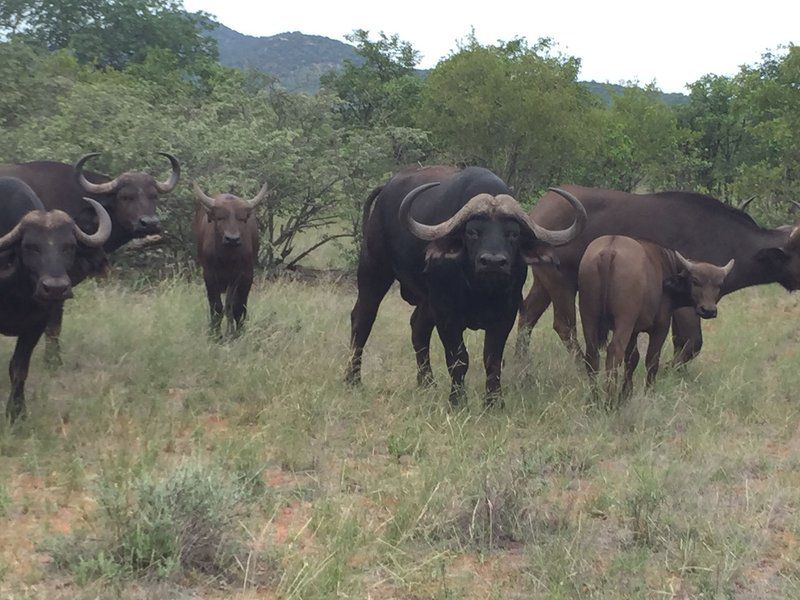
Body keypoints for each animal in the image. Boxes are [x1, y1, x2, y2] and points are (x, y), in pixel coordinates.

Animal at [0, 178, 112, 422]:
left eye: (69, 246)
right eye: (30, 247)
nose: (55, 289)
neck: (17, 292)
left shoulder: (35, 325)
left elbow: (19, 368)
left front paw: (17, 413)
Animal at [193, 178, 268, 338]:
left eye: (242, 219)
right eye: (220, 217)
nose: (232, 239)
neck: (225, 257)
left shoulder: (242, 275)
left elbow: (235, 307)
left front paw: (235, 334)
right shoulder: (209, 275)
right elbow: (216, 306)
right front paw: (215, 335)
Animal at [516, 186, 800, 366]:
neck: (729, 238)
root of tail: (538, 213)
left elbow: (682, 343)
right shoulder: (689, 305)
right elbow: (691, 343)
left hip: (543, 282)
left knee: (527, 315)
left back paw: (523, 364)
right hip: (561, 282)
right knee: (565, 327)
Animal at [580, 234, 736, 404]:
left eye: (719, 285)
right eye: (695, 281)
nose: (708, 310)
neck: (666, 266)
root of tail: (610, 250)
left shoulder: (634, 331)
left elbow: (632, 359)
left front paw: (626, 394)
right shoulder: (661, 326)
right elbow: (652, 360)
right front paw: (649, 393)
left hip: (588, 317)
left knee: (592, 355)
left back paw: (594, 399)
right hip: (623, 321)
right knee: (614, 353)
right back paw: (609, 402)